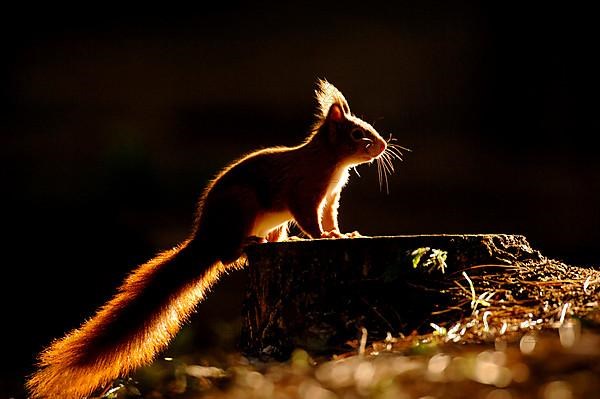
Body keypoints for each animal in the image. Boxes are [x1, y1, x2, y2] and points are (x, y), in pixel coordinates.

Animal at [27, 79, 404, 398]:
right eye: (357, 133)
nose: (383, 145)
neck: (331, 162)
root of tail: (205, 237)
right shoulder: (304, 190)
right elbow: (309, 219)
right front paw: (319, 237)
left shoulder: (330, 197)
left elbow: (329, 217)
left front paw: (341, 233)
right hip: (242, 205)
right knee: (227, 256)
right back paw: (249, 245)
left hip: (269, 221)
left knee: (264, 240)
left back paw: (279, 244)